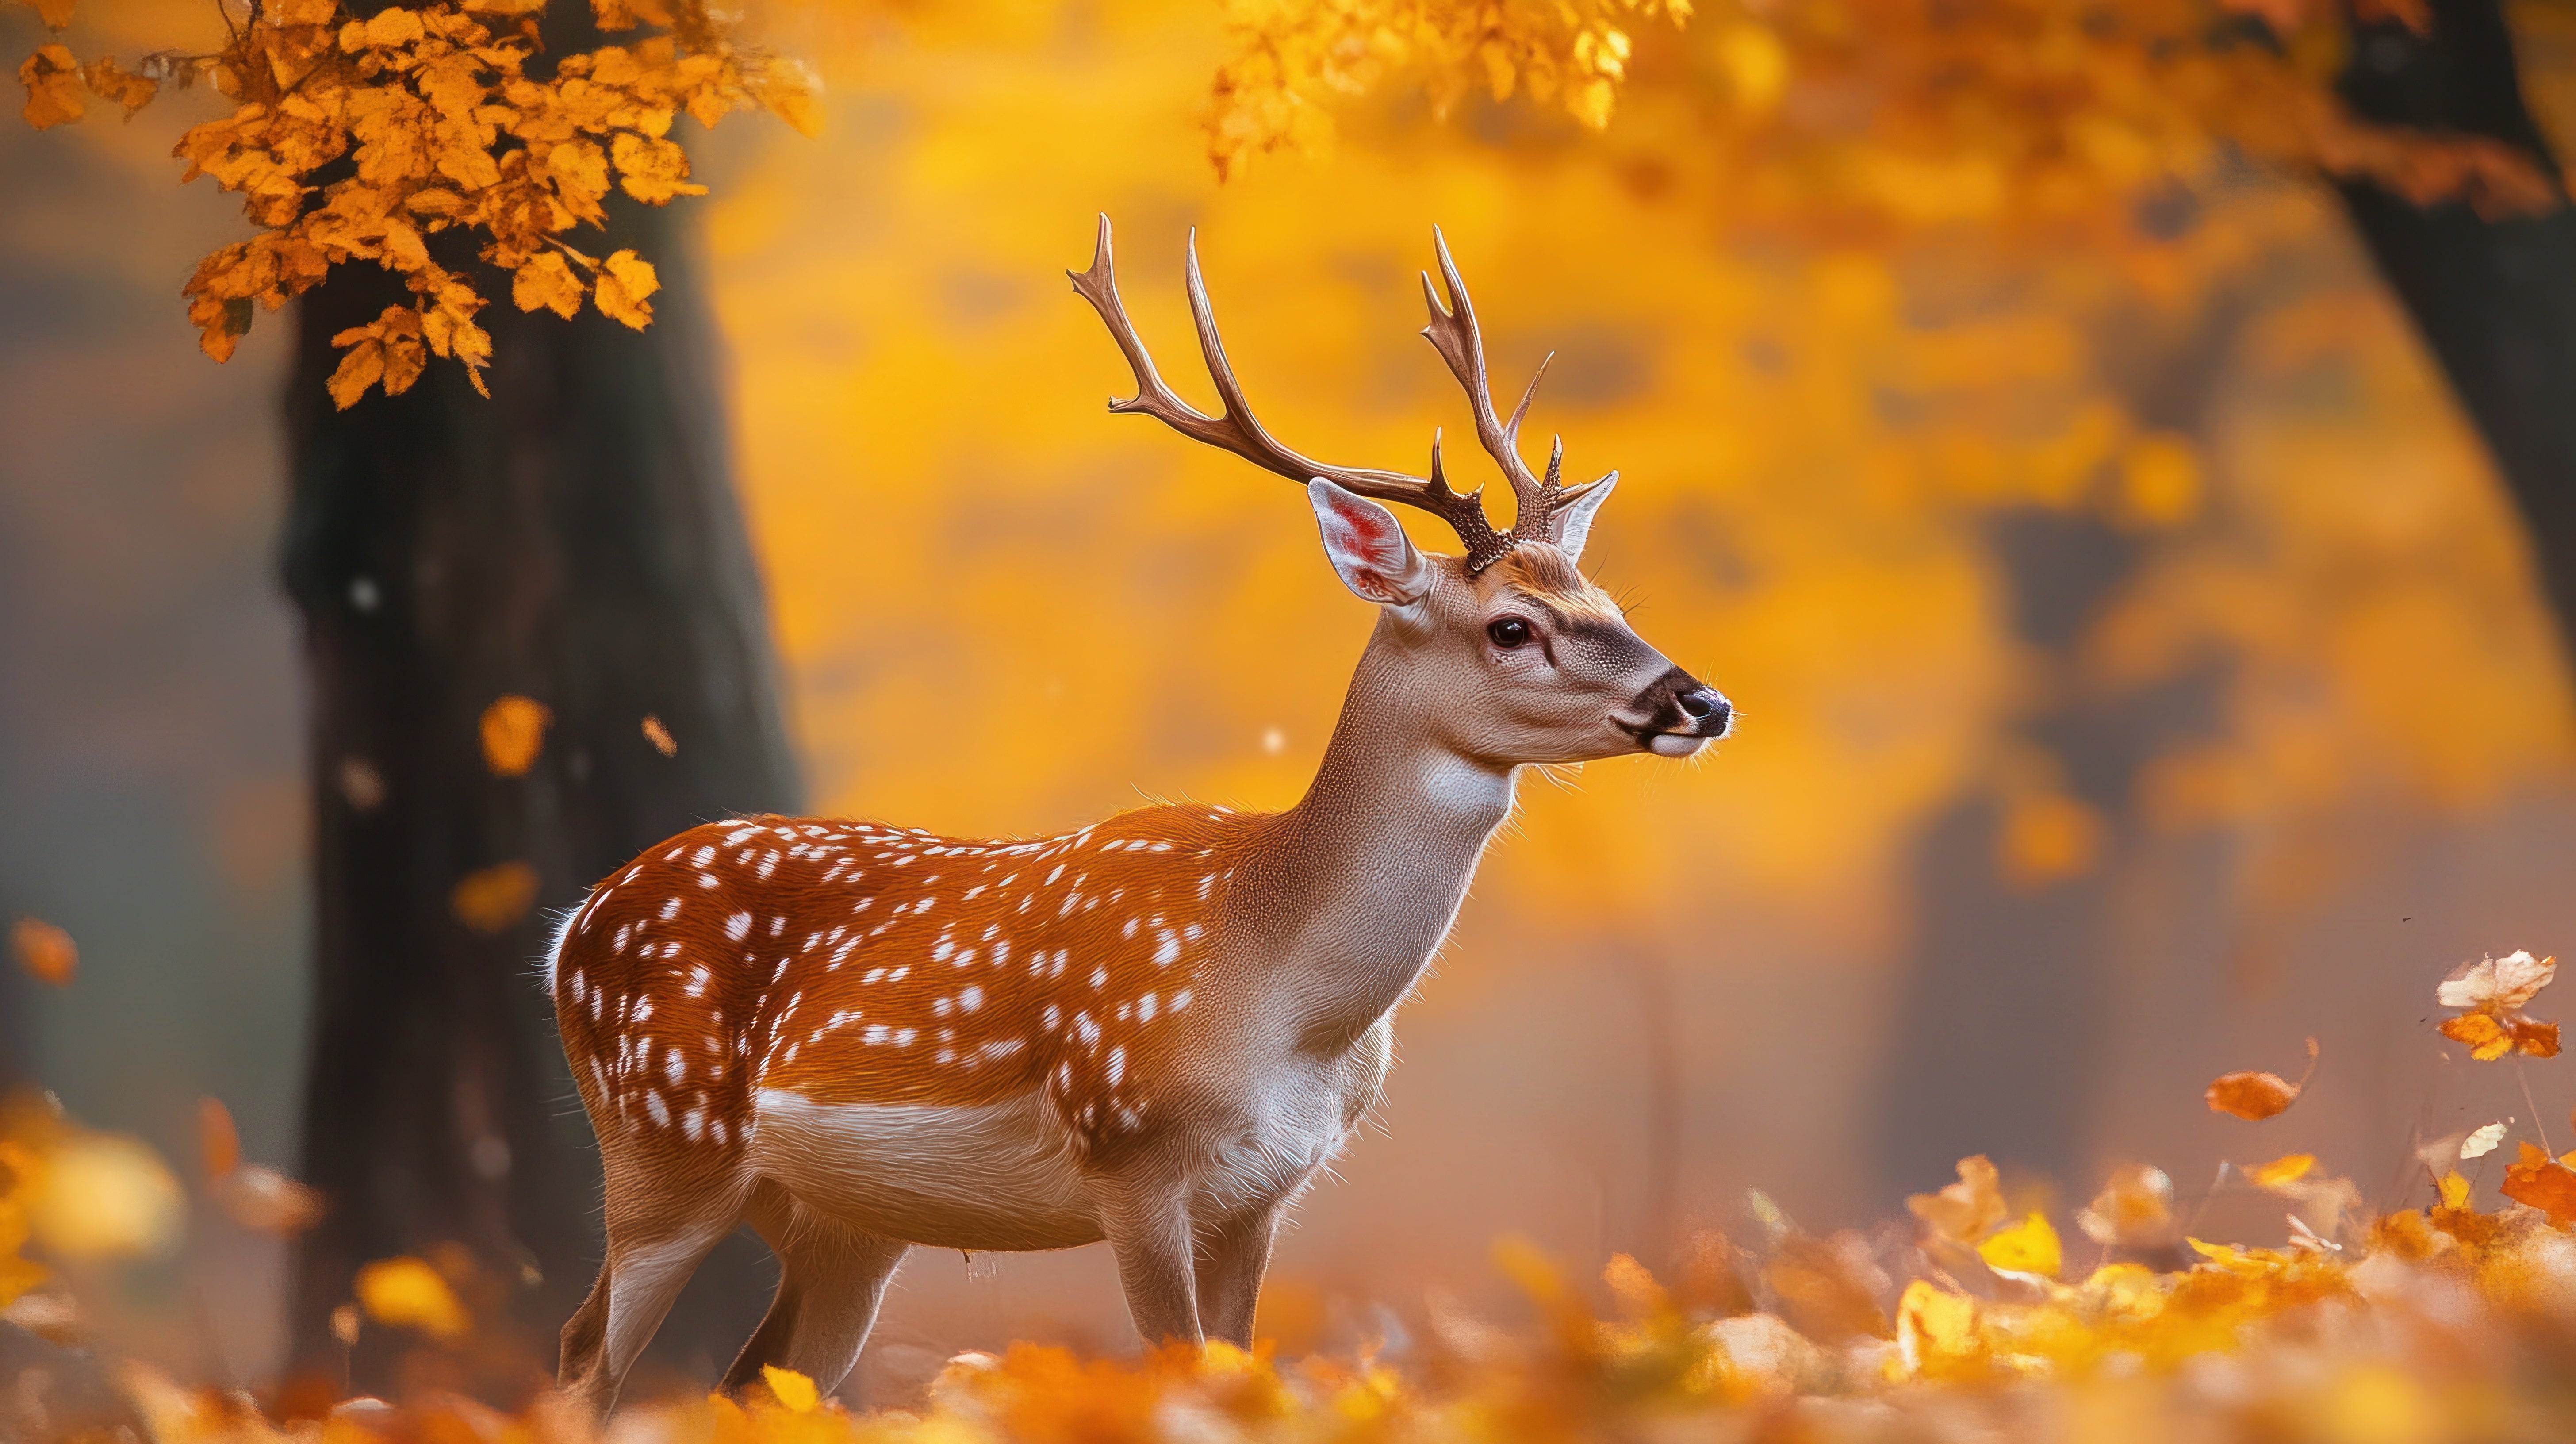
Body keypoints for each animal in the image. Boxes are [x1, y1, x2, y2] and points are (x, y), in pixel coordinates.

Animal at [554, 220, 1741, 1413]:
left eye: (1609, 602)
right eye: (1510, 627)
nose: (1701, 701)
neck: (1278, 989)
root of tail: (574, 924)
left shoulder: (1263, 1195)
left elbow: (1240, 1371)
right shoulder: (1128, 1151)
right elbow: (1178, 1372)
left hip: (844, 1221)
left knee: (749, 1381)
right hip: (663, 1136)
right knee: (580, 1357)